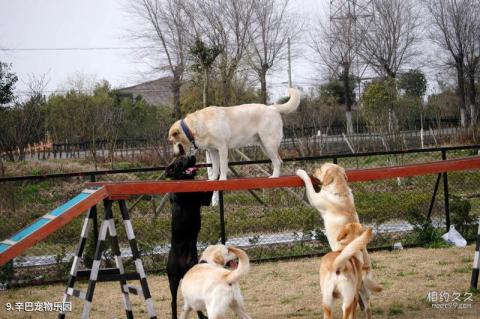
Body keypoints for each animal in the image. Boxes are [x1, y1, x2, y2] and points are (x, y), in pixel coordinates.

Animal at [165, 156, 212, 319]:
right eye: (180, 160)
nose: (193, 157)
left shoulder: (204, 200)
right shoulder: (180, 195)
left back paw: (202, 316)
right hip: (172, 279)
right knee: (172, 301)